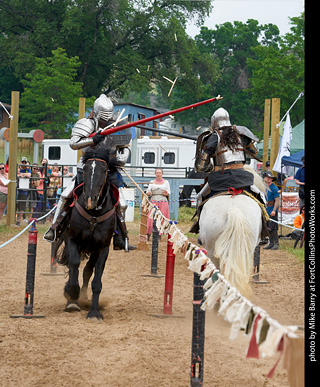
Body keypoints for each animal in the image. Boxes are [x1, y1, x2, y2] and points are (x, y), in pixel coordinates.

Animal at [57, 146, 119, 322]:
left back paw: (84, 298)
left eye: (104, 170)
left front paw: (94, 312)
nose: (90, 200)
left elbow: (96, 281)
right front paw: (71, 296)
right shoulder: (72, 240)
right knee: (74, 267)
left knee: (87, 271)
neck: (94, 215)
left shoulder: (103, 249)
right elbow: (74, 265)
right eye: (85, 169)